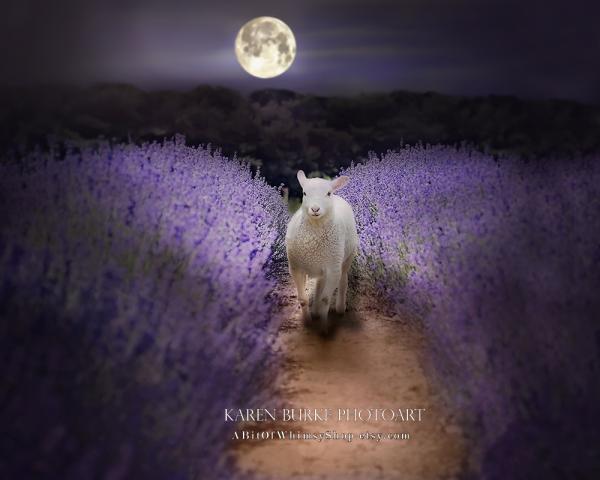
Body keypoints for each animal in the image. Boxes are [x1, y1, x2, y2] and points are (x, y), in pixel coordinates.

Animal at [284, 172, 358, 334]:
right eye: (305, 193)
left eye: (328, 193)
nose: (315, 209)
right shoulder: (296, 268)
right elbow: (303, 299)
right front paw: (307, 323)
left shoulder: (333, 269)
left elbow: (325, 300)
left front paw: (324, 330)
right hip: (322, 264)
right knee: (319, 284)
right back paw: (316, 312)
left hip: (345, 258)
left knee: (343, 280)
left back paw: (340, 308)